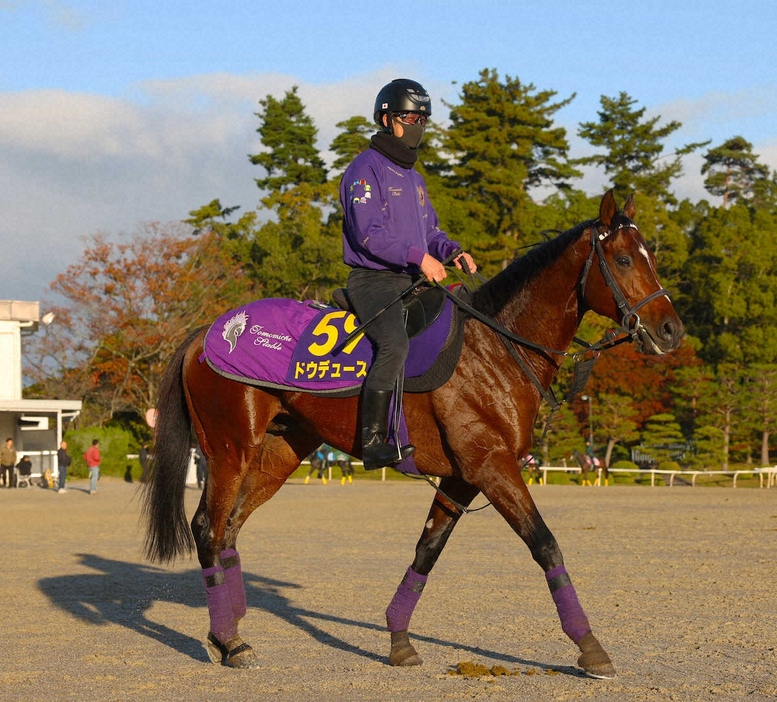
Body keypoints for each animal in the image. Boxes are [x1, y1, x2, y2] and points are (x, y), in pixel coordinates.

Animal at [142, 190, 684, 680]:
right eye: (622, 258)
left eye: (652, 257)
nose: (671, 330)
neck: (495, 346)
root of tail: (205, 333)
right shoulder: (493, 466)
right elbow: (546, 545)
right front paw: (590, 647)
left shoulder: (462, 477)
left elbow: (427, 551)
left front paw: (398, 639)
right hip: (230, 450)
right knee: (208, 529)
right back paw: (230, 640)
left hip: (278, 454)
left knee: (230, 528)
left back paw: (227, 629)